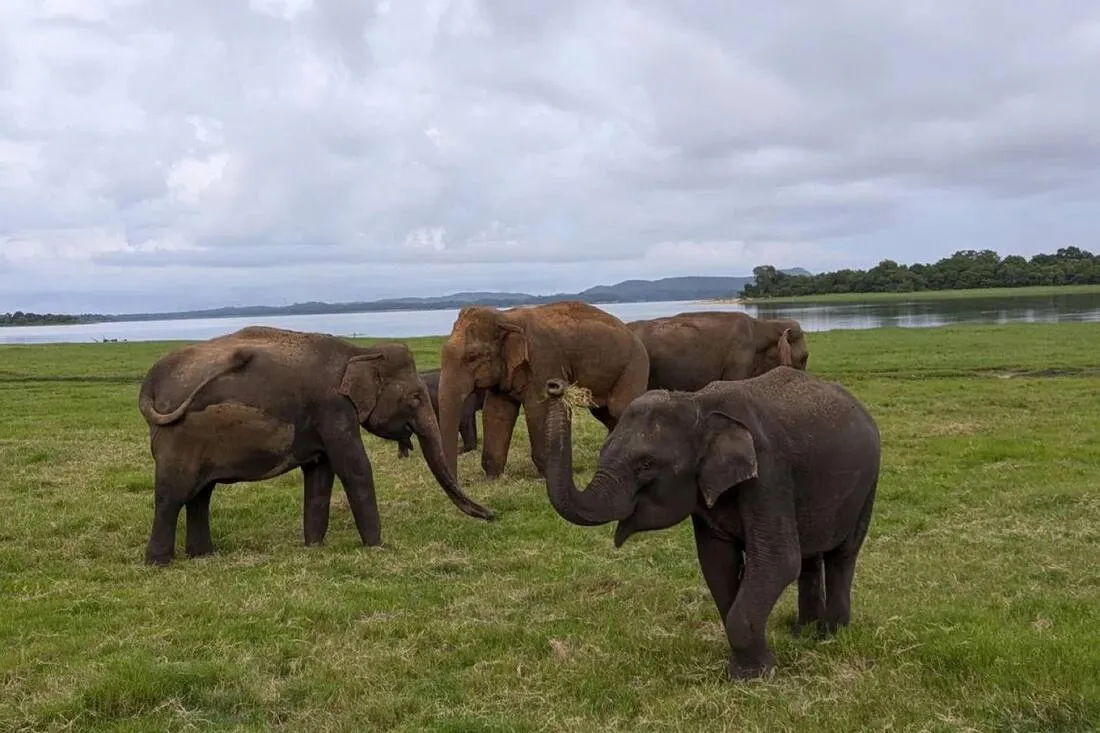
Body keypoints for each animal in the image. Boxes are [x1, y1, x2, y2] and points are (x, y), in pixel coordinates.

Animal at [137, 325, 494, 566]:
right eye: (415, 397)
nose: (493, 515)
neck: (358, 351)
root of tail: (151, 382)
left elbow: (320, 473)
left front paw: (313, 547)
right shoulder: (333, 408)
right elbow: (354, 468)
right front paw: (377, 547)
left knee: (200, 495)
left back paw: (202, 556)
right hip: (178, 438)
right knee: (173, 495)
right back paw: (158, 563)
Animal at [437, 300, 650, 482]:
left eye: (473, 356)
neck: (506, 317)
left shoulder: (544, 362)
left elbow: (540, 409)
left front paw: (546, 477)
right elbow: (496, 412)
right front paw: (492, 478)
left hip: (634, 367)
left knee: (621, 409)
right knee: (606, 414)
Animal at [540, 366, 880, 680]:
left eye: (646, 464)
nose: (555, 386)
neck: (697, 404)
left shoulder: (769, 472)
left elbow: (778, 561)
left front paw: (755, 675)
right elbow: (718, 563)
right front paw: (746, 667)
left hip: (868, 483)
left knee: (842, 554)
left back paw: (831, 635)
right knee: (809, 558)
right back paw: (802, 633)